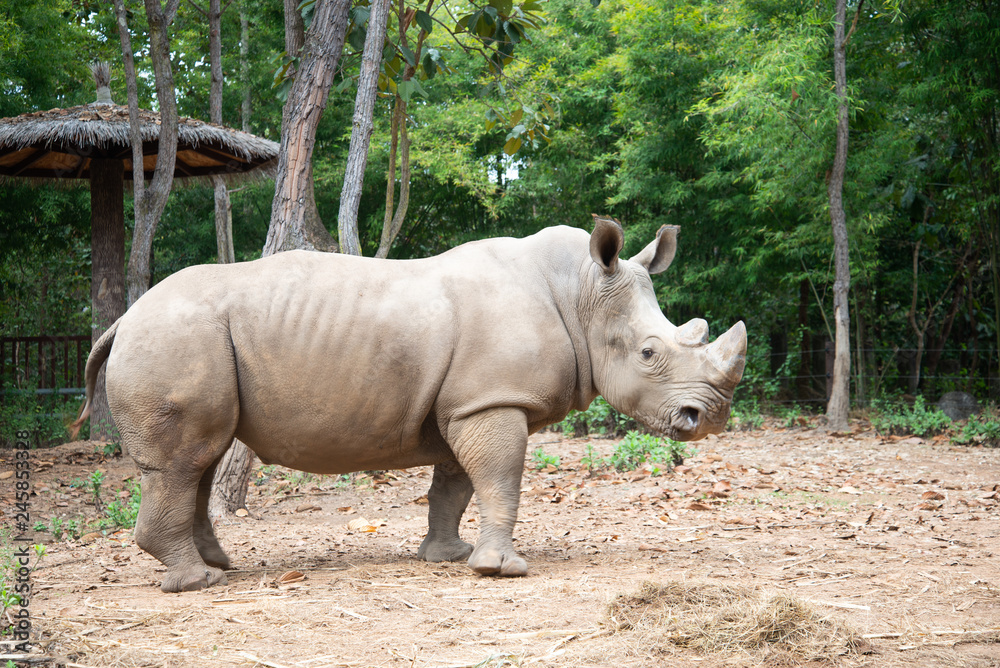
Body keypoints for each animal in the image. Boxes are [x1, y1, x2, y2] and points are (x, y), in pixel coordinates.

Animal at [71, 216, 746, 592]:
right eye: (649, 353)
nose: (708, 419)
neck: (580, 290)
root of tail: (124, 319)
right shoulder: (492, 400)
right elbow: (502, 477)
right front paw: (502, 570)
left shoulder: (467, 402)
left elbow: (456, 485)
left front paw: (448, 556)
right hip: (175, 337)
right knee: (182, 462)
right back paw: (197, 584)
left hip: (187, 342)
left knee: (199, 461)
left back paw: (219, 566)